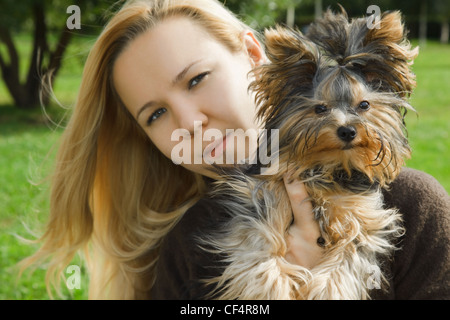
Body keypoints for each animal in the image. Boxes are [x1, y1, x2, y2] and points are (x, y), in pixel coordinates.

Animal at [200, 9, 418, 300]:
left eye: (364, 105)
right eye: (320, 109)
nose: (347, 130)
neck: (327, 167)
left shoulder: (362, 218)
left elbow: (346, 257)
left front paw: (325, 290)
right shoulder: (265, 196)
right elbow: (263, 242)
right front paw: (275, 288)